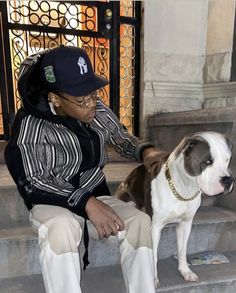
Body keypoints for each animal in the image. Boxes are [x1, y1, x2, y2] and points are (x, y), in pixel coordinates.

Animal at [115, 132, 233, 286]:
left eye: (227, 160)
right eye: (208, 162)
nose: (228, 180)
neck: (185, 188)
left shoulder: (185, 224)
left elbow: (182, 251)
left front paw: (186, 271)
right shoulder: (155, 228)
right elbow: (153, 255)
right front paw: (153, 278)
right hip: (126, 198)